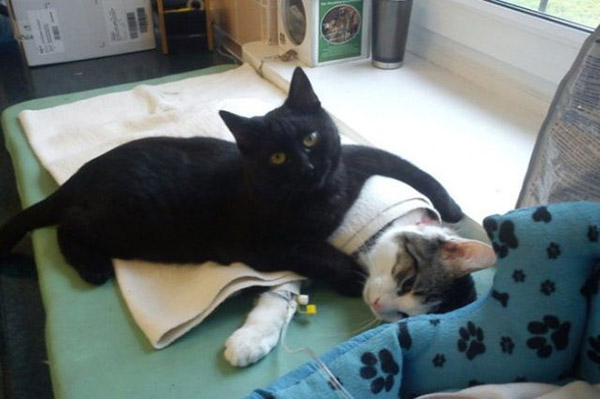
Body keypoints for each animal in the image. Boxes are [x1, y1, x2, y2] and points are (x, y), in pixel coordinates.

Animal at [0, 67, 462, 296]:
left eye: (310, 139)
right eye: (277, 157)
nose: (307, 168)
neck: (321, 197)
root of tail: (86, 171)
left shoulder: (353, 160)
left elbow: (411, 168)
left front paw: (451, 207)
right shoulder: (259, 246)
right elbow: (314, 253)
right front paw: (353, 276)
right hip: (119, 224)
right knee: (65, 226)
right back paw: (93, 267)